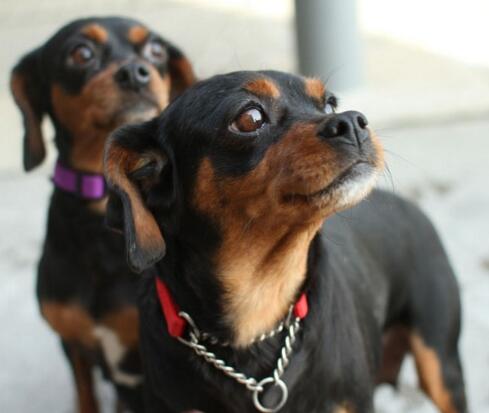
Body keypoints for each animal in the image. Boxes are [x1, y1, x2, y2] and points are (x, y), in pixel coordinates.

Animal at [104, 70, 467, 413]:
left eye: (329, 103)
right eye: (250, 118)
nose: (353, 121)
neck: (259, 312)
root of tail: (412, 208)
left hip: (442, 368)